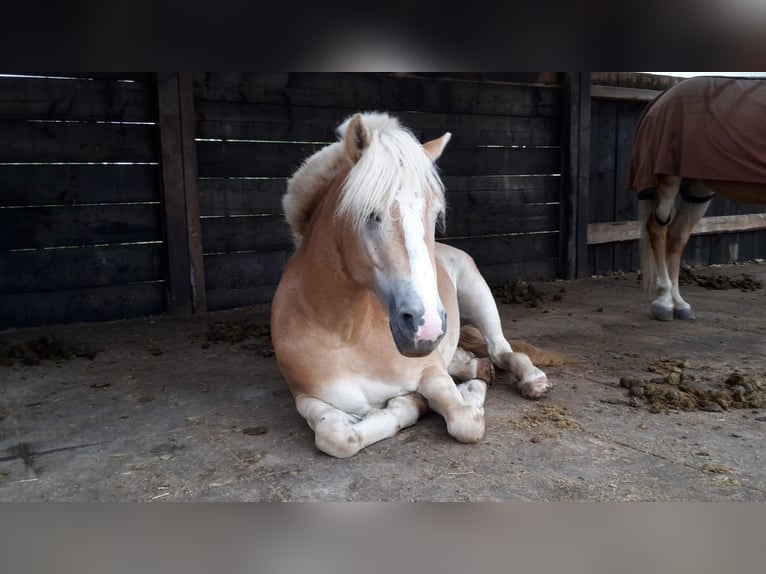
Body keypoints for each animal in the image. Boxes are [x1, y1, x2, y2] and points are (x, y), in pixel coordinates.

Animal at [272, 112, 560, 460]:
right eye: (370, 214)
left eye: (434, 215)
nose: (427, 328)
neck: (348, 333)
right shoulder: (307, 398)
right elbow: (337, 437)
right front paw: (411, 403)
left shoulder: (431, 373)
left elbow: (466, 422)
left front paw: (462, 395)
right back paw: (473, 367)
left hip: (479, 297)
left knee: (503, 351)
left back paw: (531, 379)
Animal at [632, 76, 766, 322]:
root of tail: (662, 98)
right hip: (669, 180)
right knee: (658, 230)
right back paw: (664, 303)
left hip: (698, 190)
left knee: (677, 236)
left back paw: (680, 304)